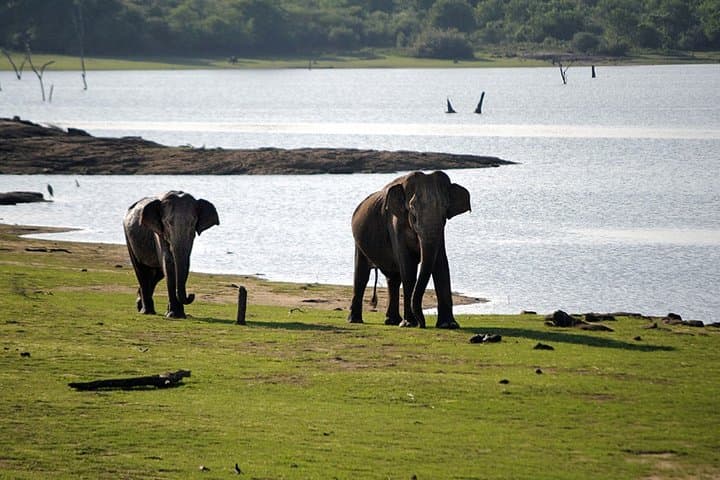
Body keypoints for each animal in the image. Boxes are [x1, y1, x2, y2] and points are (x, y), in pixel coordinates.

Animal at [348, 171, 471, 329]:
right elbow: (408, 268)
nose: (422, 324)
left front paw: (448, 325)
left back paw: (392, 321)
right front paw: (408, 324)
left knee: (393, 278)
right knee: (362, 275)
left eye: (445, 209)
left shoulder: (440, 230)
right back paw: (355, 320)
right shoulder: (395, 223)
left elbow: (441, 265)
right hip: (359, 242)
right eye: (412, 209)